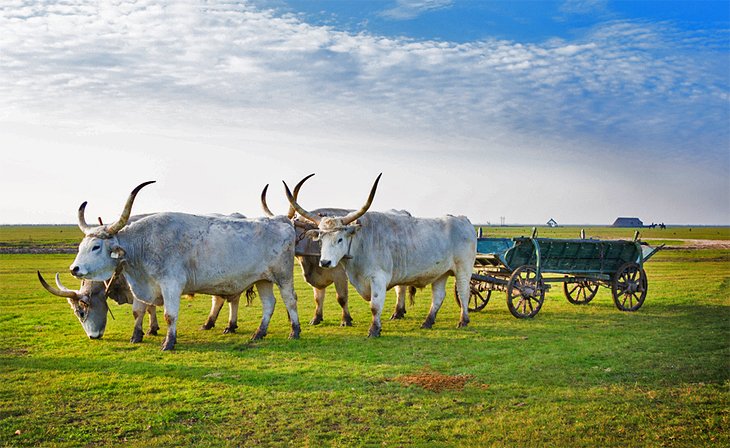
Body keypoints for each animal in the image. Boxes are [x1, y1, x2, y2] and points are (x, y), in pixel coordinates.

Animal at [66, 182, 298, 350]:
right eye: (81, 246)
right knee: (269, 304)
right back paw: (259, 333)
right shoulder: (142, 286)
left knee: (290, 300)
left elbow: (169, 315)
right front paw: (137, 336)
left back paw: (294, 331)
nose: (74, 269)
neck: (143, 244)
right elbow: (139, 310)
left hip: (283, 276)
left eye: (96, 246)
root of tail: (281, 221)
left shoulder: (171, 285)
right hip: (263, 279)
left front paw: (168, 342)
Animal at [282, 174, 474, 336]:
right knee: (438, 296)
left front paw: (374, 329)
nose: (326, 262)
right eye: (321, 238)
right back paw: (428, 321)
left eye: (340, 239)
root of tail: (463, 219)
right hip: (441, 273)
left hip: (463, 269)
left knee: (463, 292)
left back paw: (463, 321)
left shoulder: (378, 278)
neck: (361, 242)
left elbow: (374, 305)